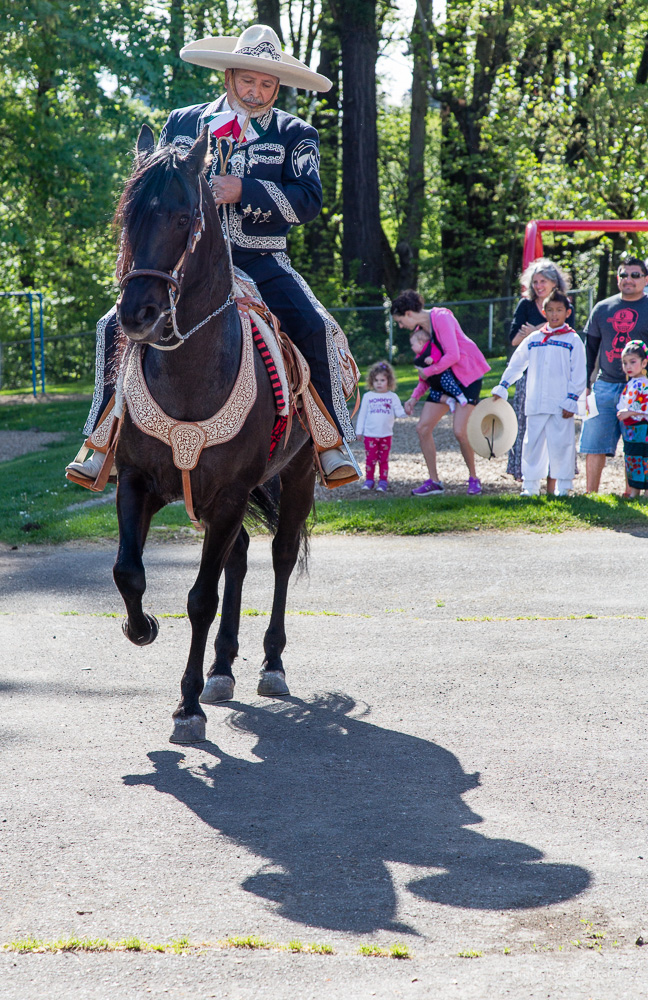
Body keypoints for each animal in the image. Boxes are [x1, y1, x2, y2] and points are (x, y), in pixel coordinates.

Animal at [114, 125, 316, 744]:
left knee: (279, 555)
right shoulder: (138, 481)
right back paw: (222, 667)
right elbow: (129, 571)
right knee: (241, 557)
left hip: (297, 477)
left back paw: (271, 664)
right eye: (128, 215)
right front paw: (142, 628)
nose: (137, 314)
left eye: (182, 217)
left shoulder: (228, 494)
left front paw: (187, 705)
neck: (191, 371)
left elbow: (201, 598)